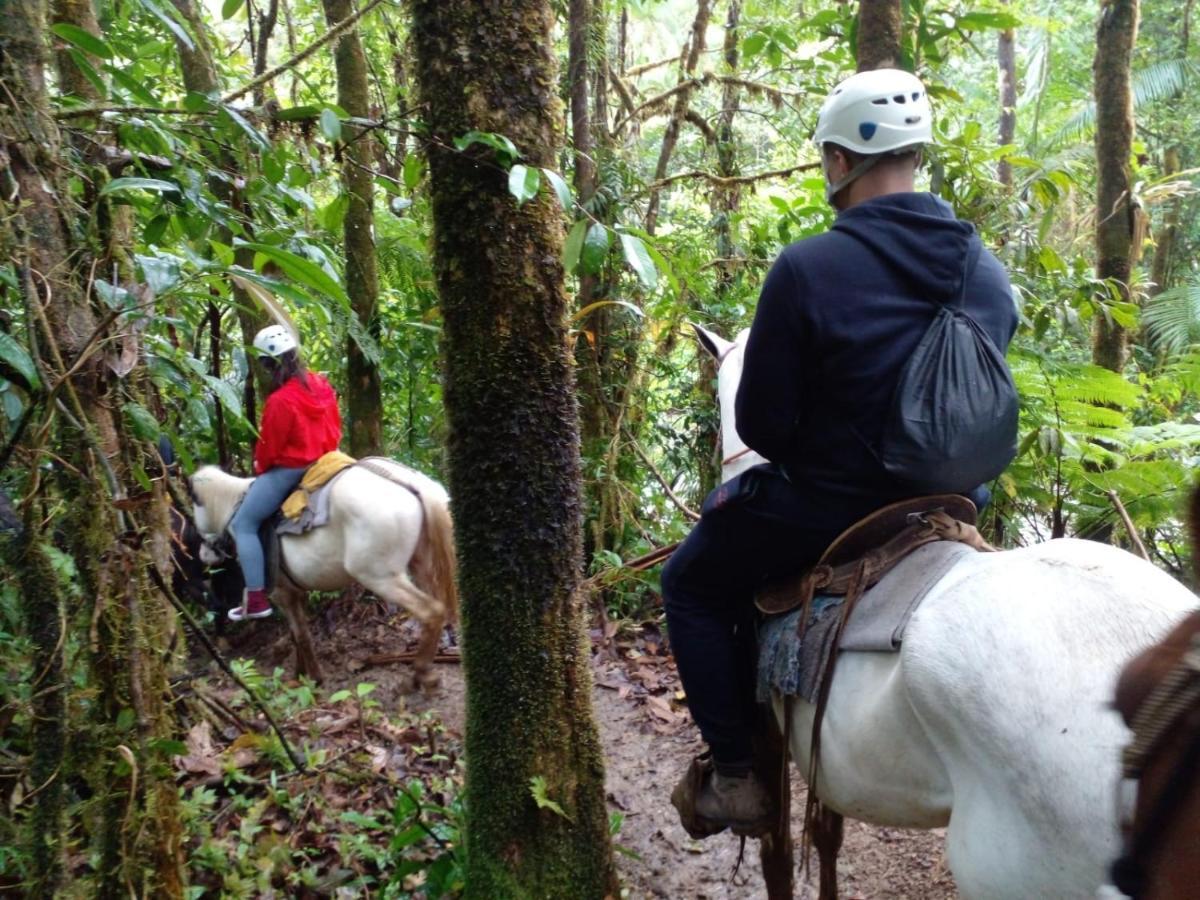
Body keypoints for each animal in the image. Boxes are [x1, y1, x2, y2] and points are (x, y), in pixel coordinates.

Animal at [189, 465, 456, 691]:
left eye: (194, 506)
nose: (203, 554)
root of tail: (410, 482)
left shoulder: (282, 593)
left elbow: (300, 635)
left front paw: (314, 678)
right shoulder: (295, 592)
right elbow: (297, 635)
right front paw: (299, 674)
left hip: (381, 577)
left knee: (431, 611)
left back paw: (420, 675)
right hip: (422, 565)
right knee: (440, 609)